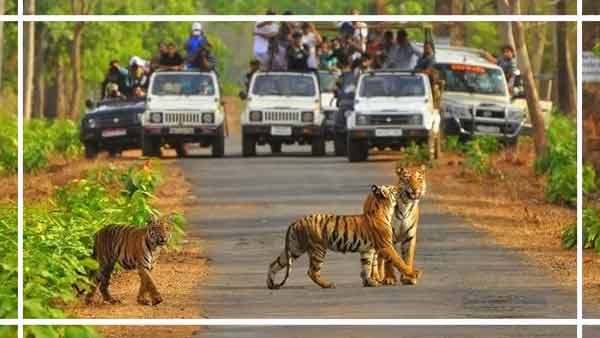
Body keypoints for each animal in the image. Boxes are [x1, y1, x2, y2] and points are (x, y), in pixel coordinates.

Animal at [268, 184, 422, 290]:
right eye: (394, 189)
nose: (402, 188)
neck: (383, 209)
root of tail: (296, 222)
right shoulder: (386, 246)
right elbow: (399, 261)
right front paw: (414, 274)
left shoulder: (367, 250)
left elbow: (366, 266)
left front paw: (369, 282)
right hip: (318, 249)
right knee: (312, 272)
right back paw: (328, 284)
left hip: (294, 248)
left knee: (274, 263)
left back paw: (270, 283)